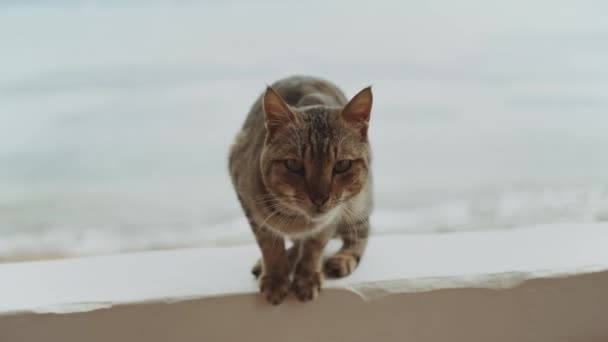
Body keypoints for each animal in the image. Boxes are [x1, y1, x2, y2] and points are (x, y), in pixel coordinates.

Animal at [227, 75, 370, 304]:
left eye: (342, 165)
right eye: (293, 165)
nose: (319, 198)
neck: (297, 220)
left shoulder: (332, 217)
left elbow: (314, 246)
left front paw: (306, 278)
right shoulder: (249, 206)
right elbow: (270, 244)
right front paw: (276, 278)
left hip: (359, 204)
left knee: (362, 230)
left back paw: (343, 258)